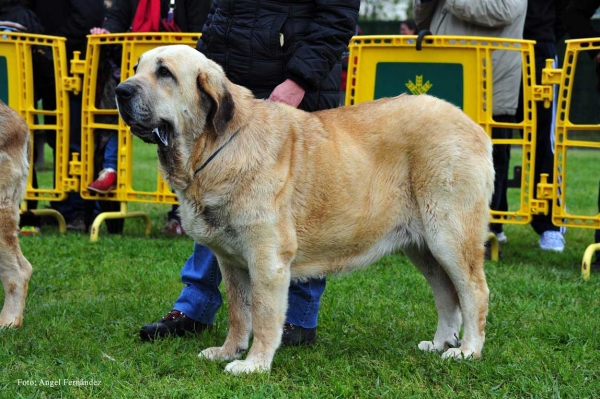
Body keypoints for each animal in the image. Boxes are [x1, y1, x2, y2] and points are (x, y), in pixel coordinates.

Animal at [115, 45, 494, 376]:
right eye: (136, 68)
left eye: (165, 72)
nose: (120, 90)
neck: (214, 149)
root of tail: (474, 126)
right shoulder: (231, 261)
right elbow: (238, 312)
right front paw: (228, 351)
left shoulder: (267, 258)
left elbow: (264, 315)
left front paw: (254, 364)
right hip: (423, 246)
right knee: (447, 294)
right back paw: (441, 343)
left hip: (449, 236)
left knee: (474, 291)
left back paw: (467, 351)